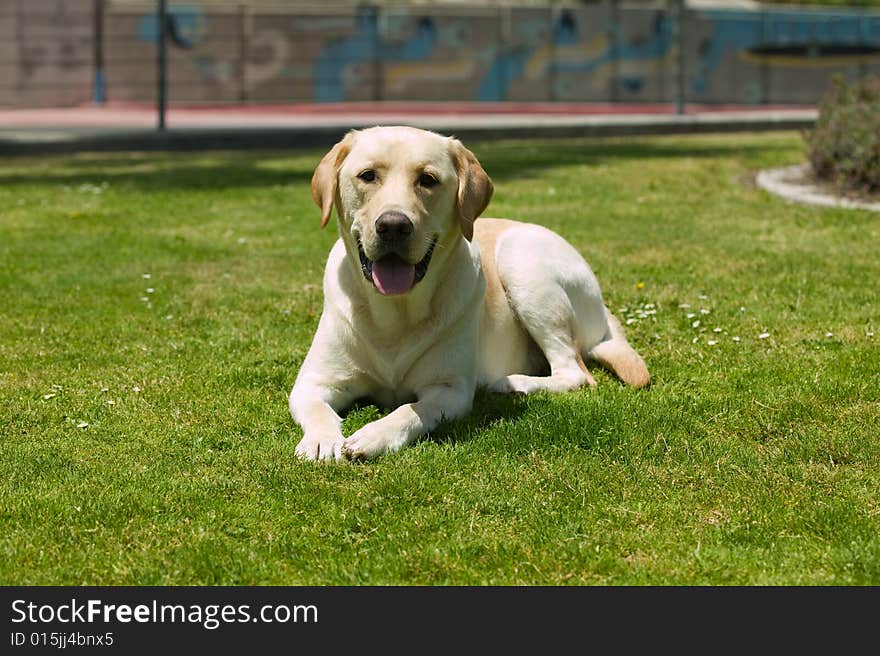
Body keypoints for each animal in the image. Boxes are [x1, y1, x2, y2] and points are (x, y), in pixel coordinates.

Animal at [288, 124, 648, 462]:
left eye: (428, 180)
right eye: (367, 176)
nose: (393, 226)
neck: (395, 312)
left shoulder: (451, 389)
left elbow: (411, 411)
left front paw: (375, 434)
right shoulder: (312, 383)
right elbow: (318, 409)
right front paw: (322, 441)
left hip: (523, 263)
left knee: (575, 372)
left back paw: (512, 384)